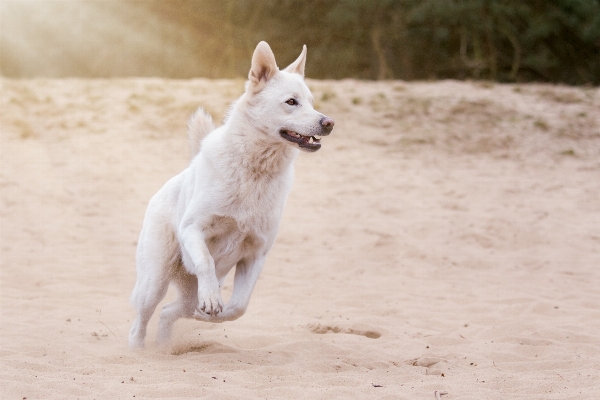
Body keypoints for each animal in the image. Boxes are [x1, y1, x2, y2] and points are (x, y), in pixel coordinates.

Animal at [129, 41, 336, 346]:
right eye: (291, 102)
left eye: (311, 101)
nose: (329, 123)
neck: (254, 171)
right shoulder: (193, 229)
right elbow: (205, 261)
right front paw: (212, 302)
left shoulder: (256, 254)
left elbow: (239, 306)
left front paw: (214, 314)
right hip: (154, 281)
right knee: (141, 320)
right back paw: (137, 350)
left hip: (189, 293)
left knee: (169, 312)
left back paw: (166, 346)